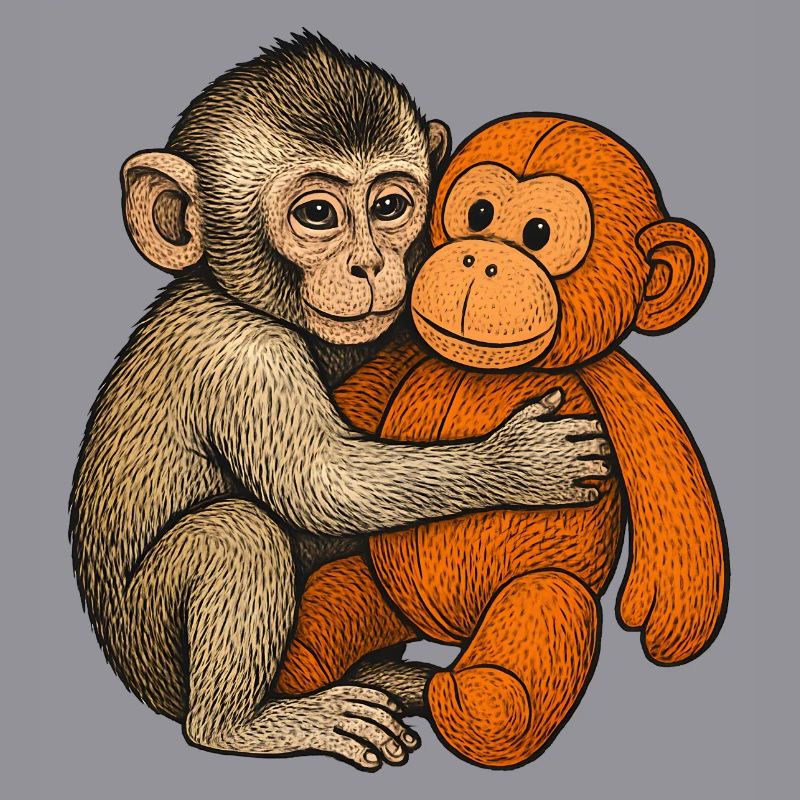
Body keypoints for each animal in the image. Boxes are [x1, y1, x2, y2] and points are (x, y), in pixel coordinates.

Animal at [69, 37, 609, 770]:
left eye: (389, 206)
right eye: (317, 215)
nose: (369, 265)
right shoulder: (247, 356)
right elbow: (322, 484)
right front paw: (516, 463)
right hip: (154, 653)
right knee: (238, 532)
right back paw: (244, 723)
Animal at [272, 113, 729, 768]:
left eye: (539, 232)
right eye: (479, 212)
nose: (475, 258)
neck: (484, 371)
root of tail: (445, 635)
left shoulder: (618, 384)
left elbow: (672, 491)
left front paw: (667, 621)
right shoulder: (405, 355)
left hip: (538, 597)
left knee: (530, 644)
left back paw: (456, 692)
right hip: (378, 589)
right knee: (324, 613)